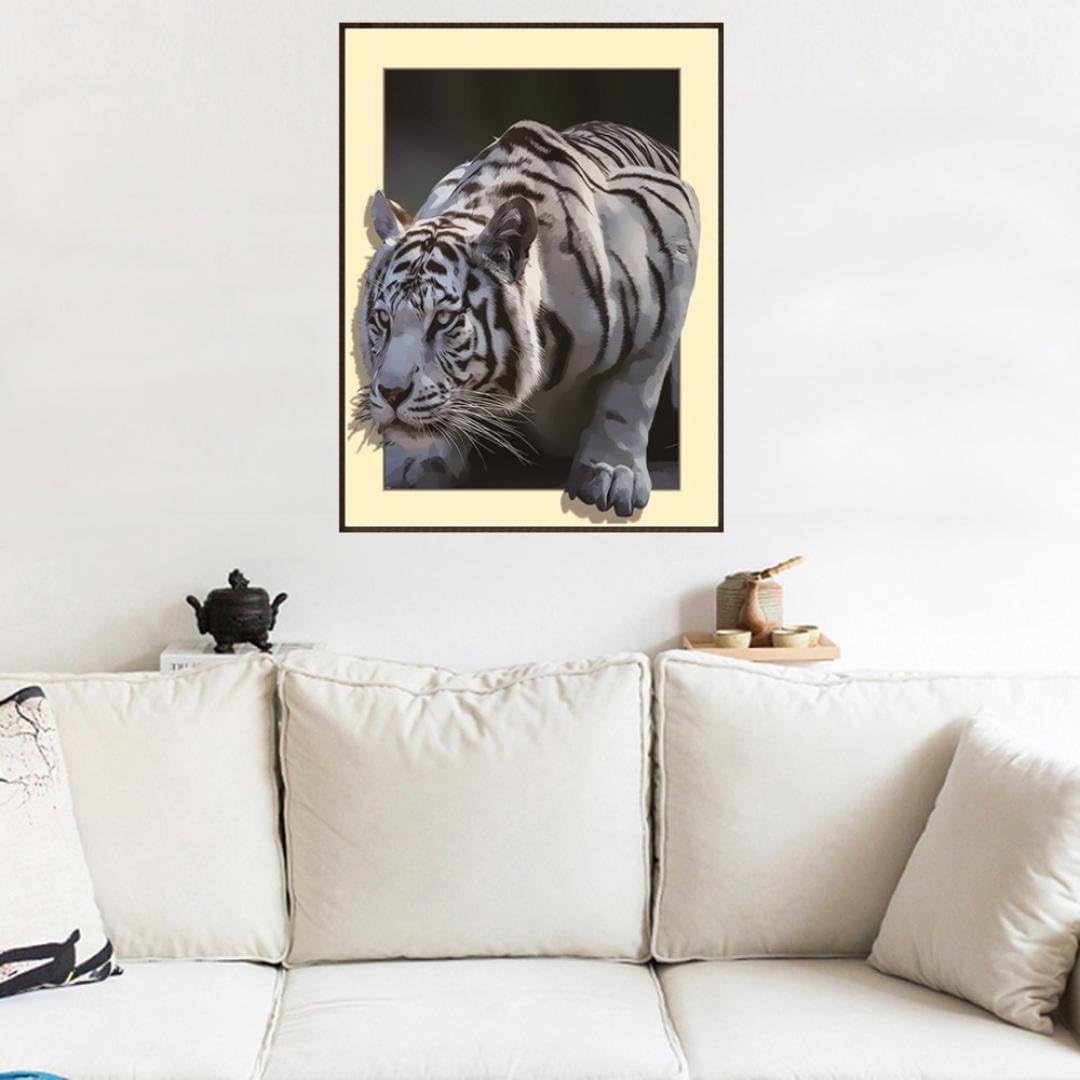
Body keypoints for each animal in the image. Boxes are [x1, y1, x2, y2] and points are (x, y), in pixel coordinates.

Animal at [352, 119, 700, 518]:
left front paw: (611, 473)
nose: (391, 394)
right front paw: (419, 457)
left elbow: (633, 389)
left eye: (442, 320)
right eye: (382, 319)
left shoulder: (673, 230)